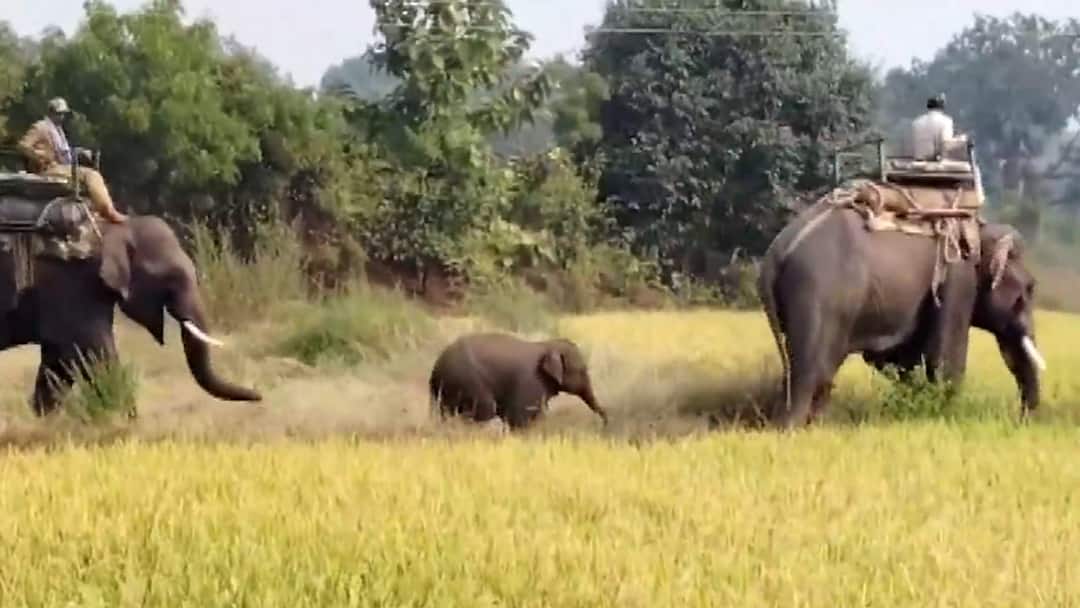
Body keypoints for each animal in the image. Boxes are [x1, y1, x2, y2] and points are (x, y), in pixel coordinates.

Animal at [0, 214, 262, 415]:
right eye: (170, 277)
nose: (259, 396)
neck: (117, 226)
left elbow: (58, 359)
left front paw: (46, 420)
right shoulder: (71, 283)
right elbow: (93, 350)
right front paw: (126, 420)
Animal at [429, 332, 608, 430]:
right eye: (582, 370)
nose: (605, 423)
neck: (547, 344)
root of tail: (435, 368)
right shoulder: (531, 380)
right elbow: (522, 417)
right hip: (467, 382)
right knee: (484, 410)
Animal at [757, 200, 1044, 429]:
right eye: (1029, 288)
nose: (1021, 421)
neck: (979, 231)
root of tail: (775, 254)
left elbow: (901, 358)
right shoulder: (956, 279)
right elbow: (944, 357)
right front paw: (946, 416)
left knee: (813, 372)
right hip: (817, 296)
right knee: (811, 370)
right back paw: (790, 429)